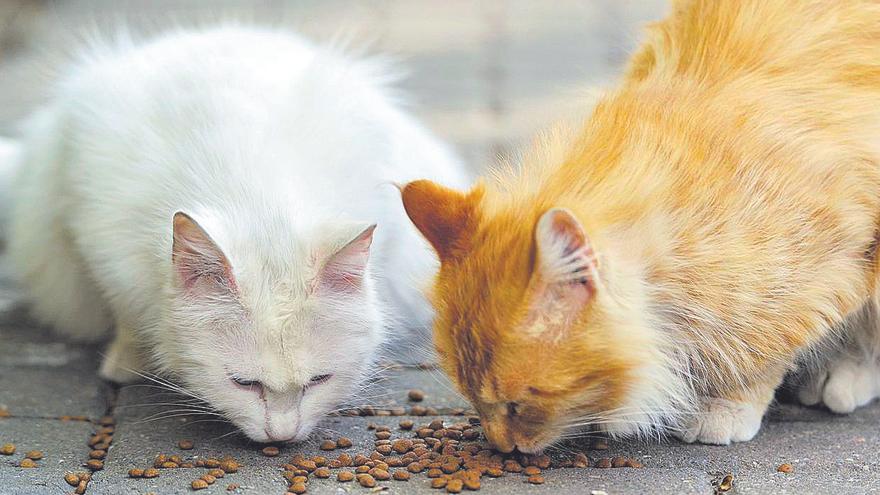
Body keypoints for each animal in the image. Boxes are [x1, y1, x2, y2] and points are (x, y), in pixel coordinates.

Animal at [3, 27, 470, 444]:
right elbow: (127, 316)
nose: (281, 436)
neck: (260, 203)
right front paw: (126, 361)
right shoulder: (98, 237)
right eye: (244, 383)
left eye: (319, 380)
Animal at [402, 0, 880, 452]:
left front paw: (726, 404)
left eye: (519, 403)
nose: (500, 445)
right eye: (472, 398)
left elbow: (761, 351)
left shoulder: (832, 273)